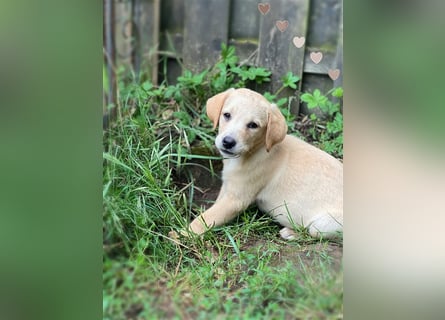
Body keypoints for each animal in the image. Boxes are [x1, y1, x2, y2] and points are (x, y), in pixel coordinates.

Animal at [186, 89, 342, 239]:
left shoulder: (236, 200)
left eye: (253, 125)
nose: (228, 142)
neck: (256, 149)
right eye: (227, 115)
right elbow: (214, 207)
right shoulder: (228, 187)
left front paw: (183, 234)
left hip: (322, 225)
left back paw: (292, 233)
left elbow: (205, 219)